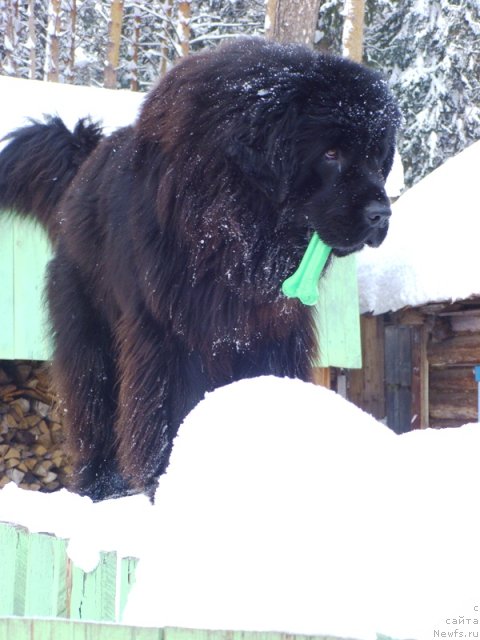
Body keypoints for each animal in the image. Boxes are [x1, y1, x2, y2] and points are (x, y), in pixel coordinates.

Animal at [0, 38, 400, 500]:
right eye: (331, 153)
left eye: (377, 158)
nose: (381, 214)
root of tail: (80, 175)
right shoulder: (171, 332)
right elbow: (169, 407)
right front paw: (168, 479)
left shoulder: (268, 330)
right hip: (90, 329)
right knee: (95, 404)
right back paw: (103, 484)